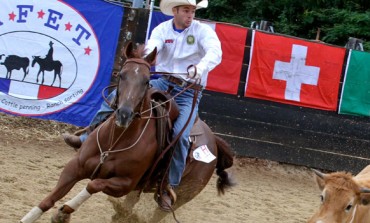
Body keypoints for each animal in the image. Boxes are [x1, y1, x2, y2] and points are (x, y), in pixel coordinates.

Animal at [19, 42, 234, 223]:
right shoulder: (75, 167)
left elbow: (92, 185)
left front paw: (64, 212)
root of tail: (213, 140)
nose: (124, 114)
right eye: (122, 74)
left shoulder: (124, 184)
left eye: (147, 81)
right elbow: (48, 200)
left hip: (181, 195)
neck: (116, 141)